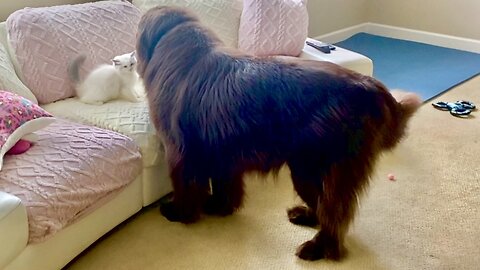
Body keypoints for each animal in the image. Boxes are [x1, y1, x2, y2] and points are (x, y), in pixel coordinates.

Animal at [135, 6, 420, 262]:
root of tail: (370, 85)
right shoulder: (221, 151)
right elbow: (224, 185)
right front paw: (219, 206)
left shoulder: (179, 152)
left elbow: (184, 186)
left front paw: (179, 212)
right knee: (325, 208)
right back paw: (305, 217)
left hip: (313, 169)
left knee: (334, 214)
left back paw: (318, 249)